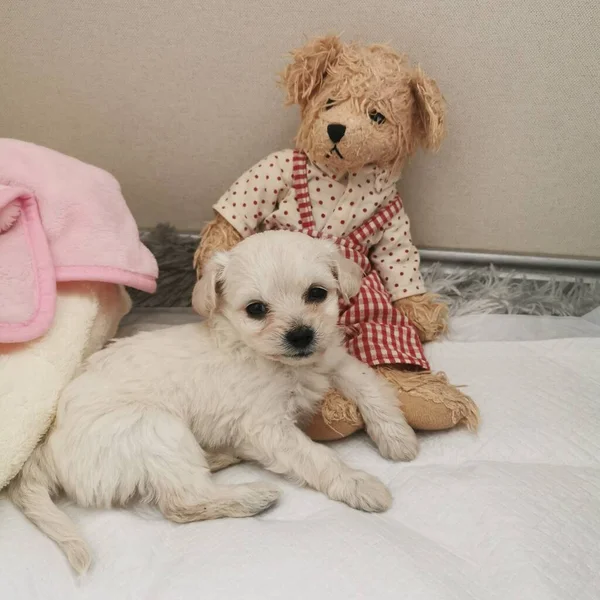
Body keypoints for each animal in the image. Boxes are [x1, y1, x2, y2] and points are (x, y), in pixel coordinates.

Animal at [8, 230, 418, 572]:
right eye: (256, 309)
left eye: (317, 293)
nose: (301, 335)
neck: (280, 363)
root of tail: (45, 449)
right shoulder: (267, 427)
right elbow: (318, 458)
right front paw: (360, 484)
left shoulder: (333, 360)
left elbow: (371, 386)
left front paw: (398, 437)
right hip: (158, 428)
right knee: (183, 501)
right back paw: (252, 495)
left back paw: (223, 456)